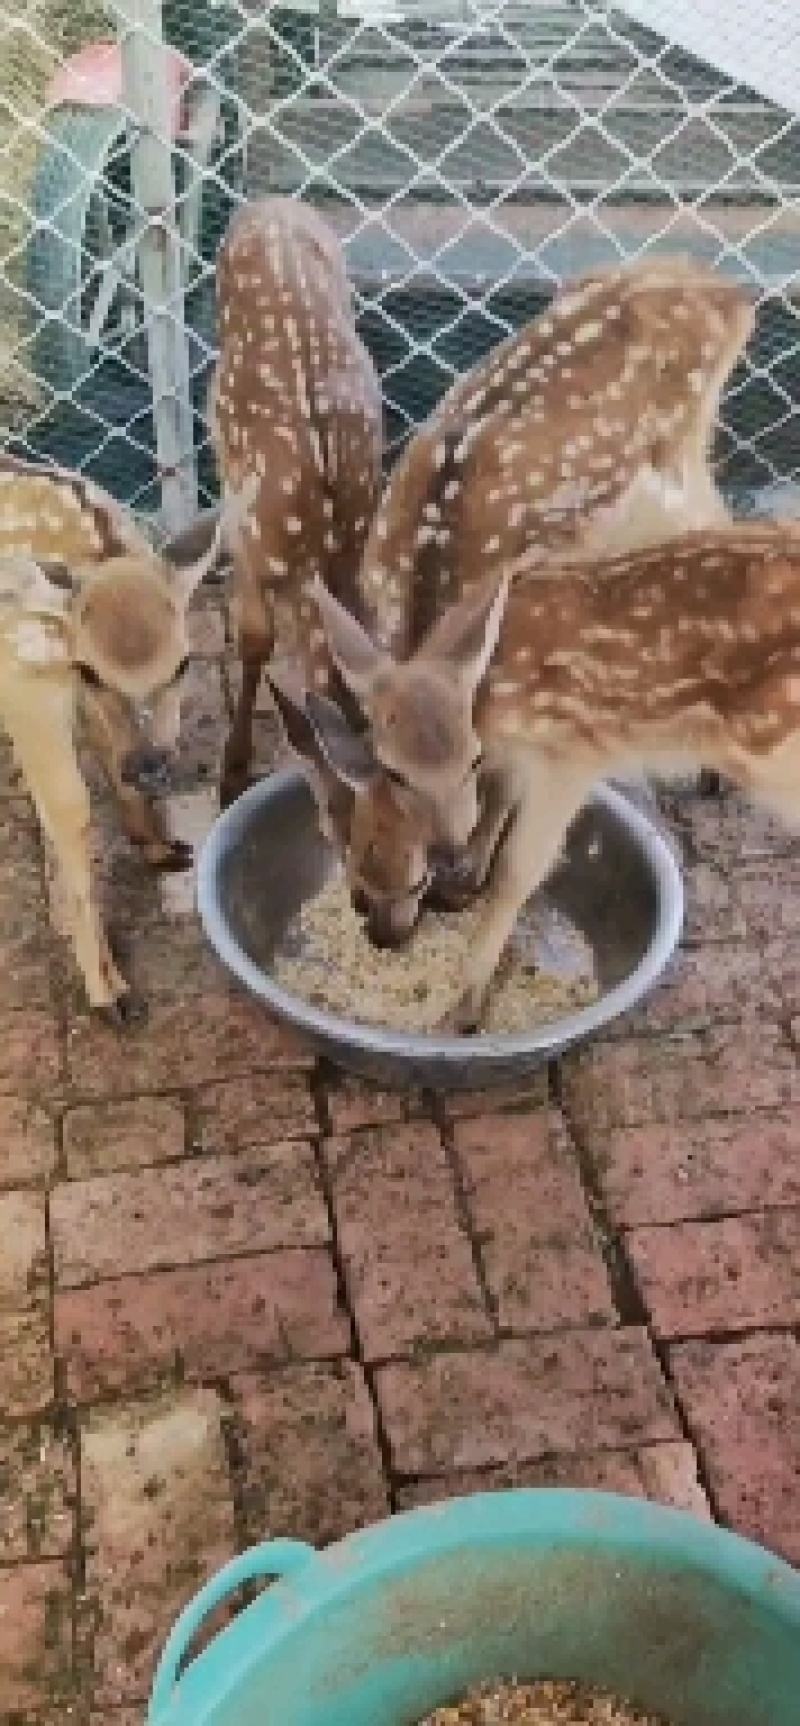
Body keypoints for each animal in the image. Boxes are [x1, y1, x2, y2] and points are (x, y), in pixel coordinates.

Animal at [0, 452, 255, 1023]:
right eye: (91, 669)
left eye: (184, 662)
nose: (152, 765)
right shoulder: (25, 684)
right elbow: (71, 811)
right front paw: (108, 993)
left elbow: (109, 753)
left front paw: (161, 850)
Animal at [265, 254, 756, 926]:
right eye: (394, 773)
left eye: (470, 759)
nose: (446, 860)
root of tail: (723, 287)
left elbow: (509, 766)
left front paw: (477, 873)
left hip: (682, 460)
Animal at [299, 520, 800, 1031]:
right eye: (358, 870)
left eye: (415, 883)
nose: (382, 938)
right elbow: (499, 800)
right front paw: (466, 888)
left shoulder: (575, 748)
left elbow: (518, 869)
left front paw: (464, 1005)